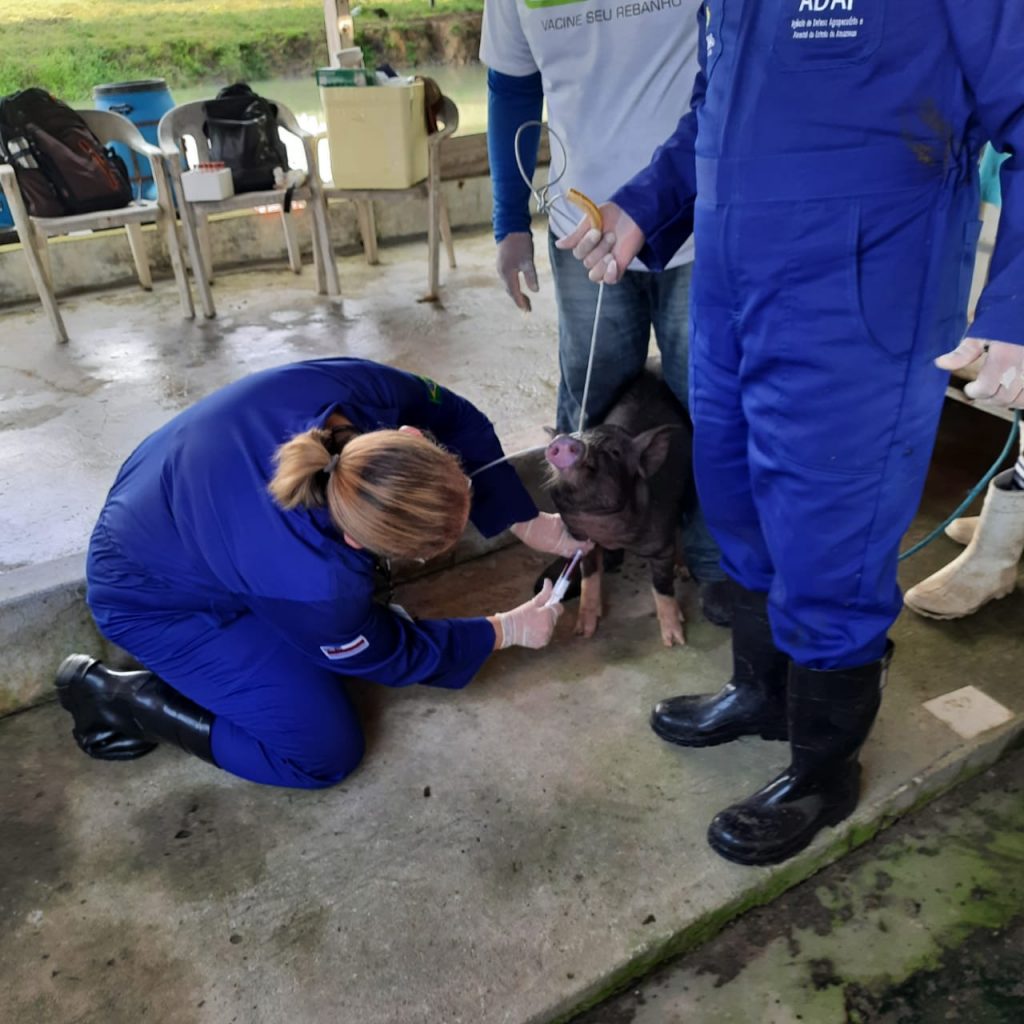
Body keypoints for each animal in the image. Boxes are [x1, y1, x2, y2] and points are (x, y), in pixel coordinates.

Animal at [544, 366, 688, 638]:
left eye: (614, 452)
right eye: (580, 435)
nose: (566, 441)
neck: (610, 532)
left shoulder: (660, 542)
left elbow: (662, 586)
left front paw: (675, 638)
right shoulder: (583, 542)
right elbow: (589, 578)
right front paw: (583, 631)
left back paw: (683, 571)